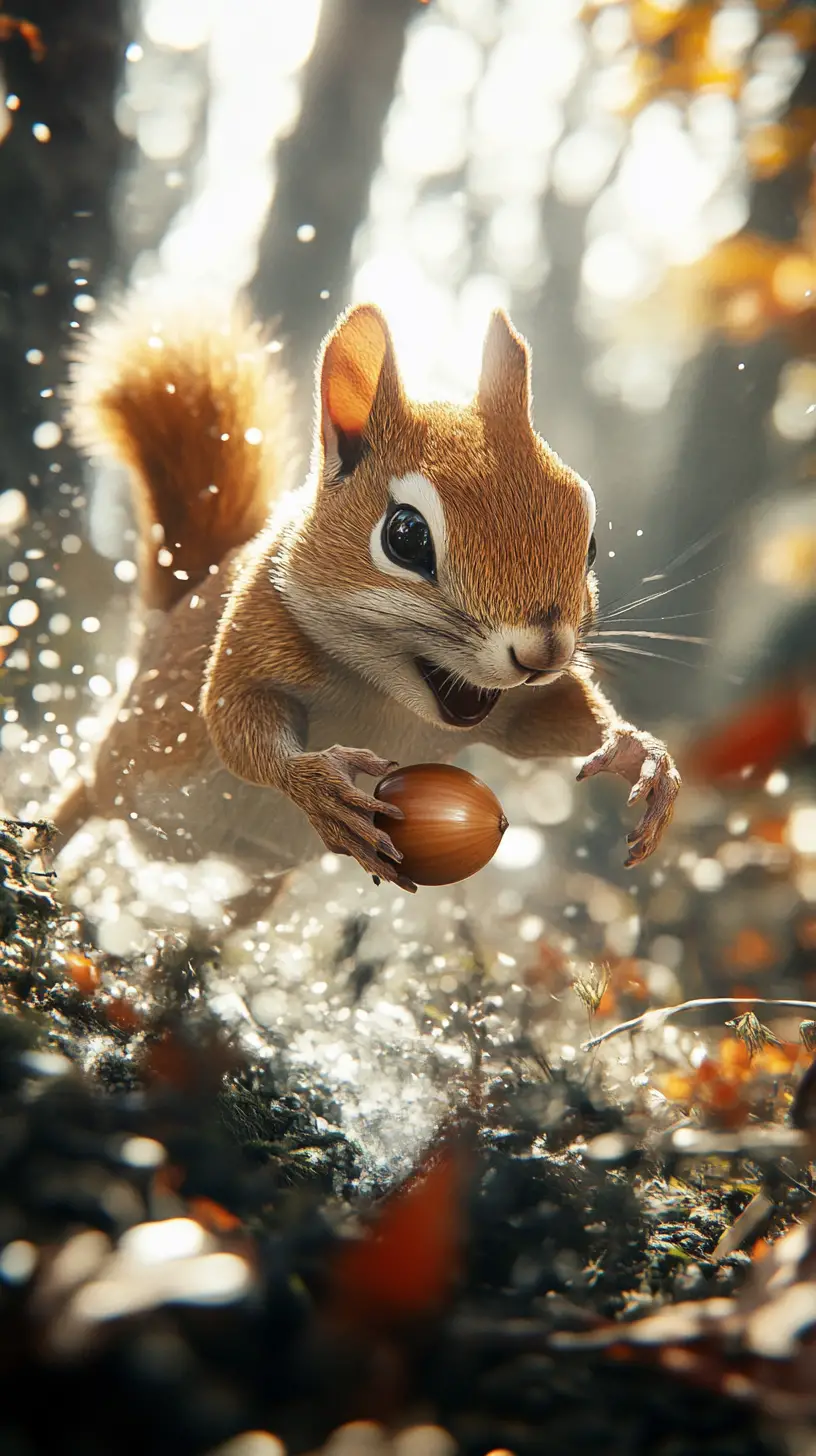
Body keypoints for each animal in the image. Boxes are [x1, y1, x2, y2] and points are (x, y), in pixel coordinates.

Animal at [47, 298, 680, 929]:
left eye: (590, 541)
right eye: (406, 536)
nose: (544, 654)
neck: (387, 701)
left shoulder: (514, 710)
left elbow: (553, 721)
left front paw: (640, 755)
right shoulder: (255, 632)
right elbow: (236, 722)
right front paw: (314, 783)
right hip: (122, 767)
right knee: (82, 800)